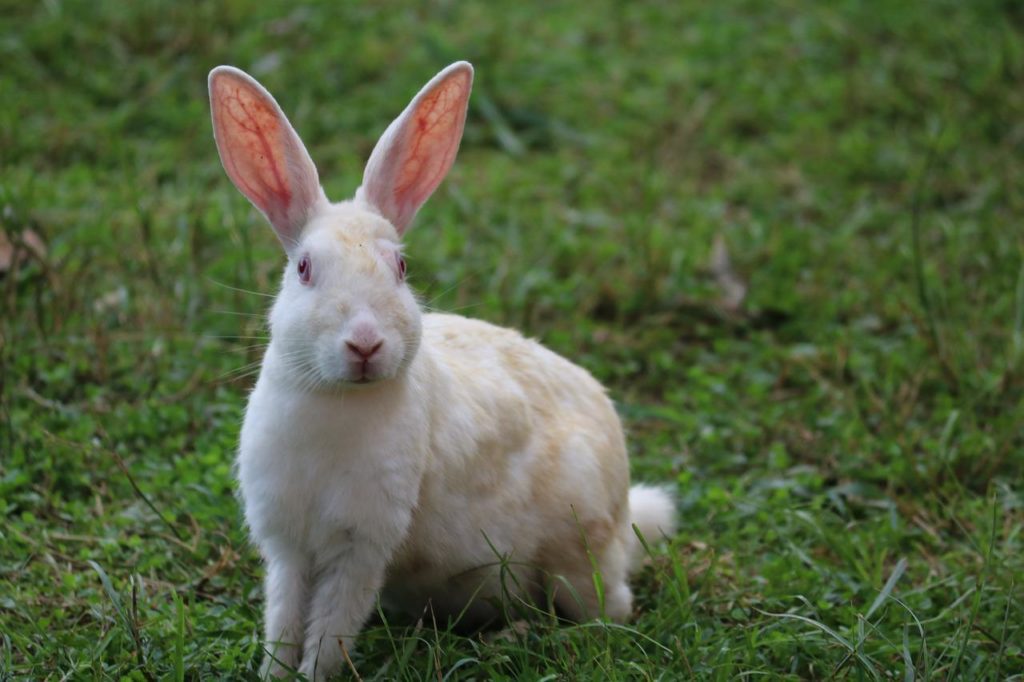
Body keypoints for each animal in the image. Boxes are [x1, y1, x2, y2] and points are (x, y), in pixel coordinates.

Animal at [208, 61, 676, 681]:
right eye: (304, 268)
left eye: (401, 268)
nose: (365, 344)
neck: (337, 400)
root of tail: (626, 515)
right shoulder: (288, 546)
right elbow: (284, 621)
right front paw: (274, 674)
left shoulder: (362, 547)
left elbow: (331, 627)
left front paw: (312, 674)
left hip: (578, 556)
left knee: (607, 611)